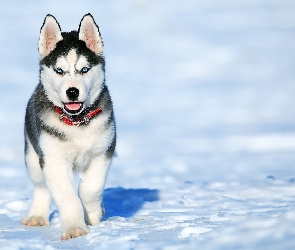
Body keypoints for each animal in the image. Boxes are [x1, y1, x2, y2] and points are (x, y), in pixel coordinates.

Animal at [21, 13, 116, 240]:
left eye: (84, 69)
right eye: (59, 70)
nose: (72, 91)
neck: (76, 122)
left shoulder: (103, 151)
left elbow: (91, 188)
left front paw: (93, 213)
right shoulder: (53, 159)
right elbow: (67, 196)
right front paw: (75, 227)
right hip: (32, 156)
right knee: (41, 186)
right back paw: (37, 215)